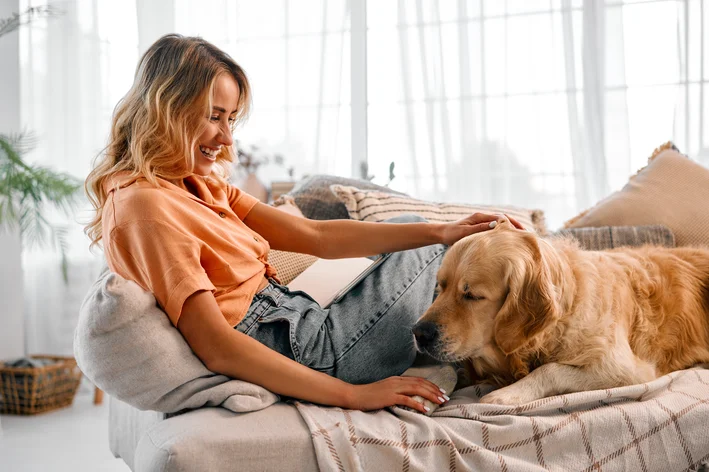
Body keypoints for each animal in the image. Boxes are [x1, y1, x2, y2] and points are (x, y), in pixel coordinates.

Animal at [412, 219, 708, 404]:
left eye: (471, 295)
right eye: (441, 286)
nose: (418, 333)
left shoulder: (628, 370)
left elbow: (550, 369)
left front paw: (507, 394)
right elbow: (449, 371)